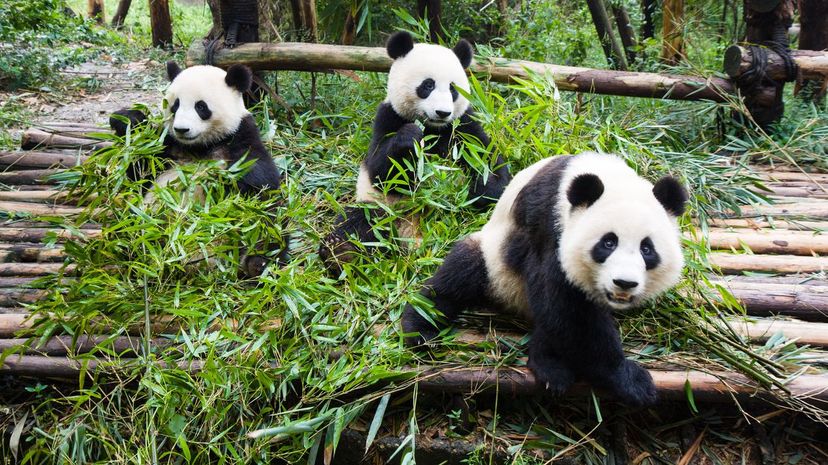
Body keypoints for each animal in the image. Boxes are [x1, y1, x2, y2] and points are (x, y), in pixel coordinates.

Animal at [109, 59, 288, 274]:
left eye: (201, 107)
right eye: (175, 105)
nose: (182, 129)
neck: (200, 146)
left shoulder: (241, 138)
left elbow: (260, 182)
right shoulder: (167, 148)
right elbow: (140, 169)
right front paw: (125, 119)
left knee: (269, 233)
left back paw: (257, 264)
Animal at [322, 31, 512, 276]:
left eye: (452, 89)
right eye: (428, 85)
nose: (442, 112)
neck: (433, 127)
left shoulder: (463, 125)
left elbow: (487, 162)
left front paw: (483, 190)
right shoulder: (388, 116)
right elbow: (381, 171)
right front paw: (411, 136)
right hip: (382, 210)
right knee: (358, 222)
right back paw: (342, 255)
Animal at [402, 152, 684, 406]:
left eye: (647, 249)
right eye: (608, 242)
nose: (624, 283)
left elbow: (561, 313)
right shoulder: (550, 226)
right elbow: (567, 308)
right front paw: (630, 379)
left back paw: (547, 362)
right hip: (494, 262)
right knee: (457, 277)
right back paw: (420, 329)